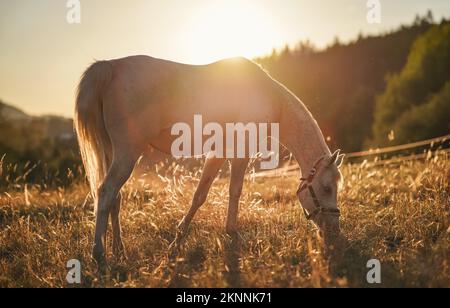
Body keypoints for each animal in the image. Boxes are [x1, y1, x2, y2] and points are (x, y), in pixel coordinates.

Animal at [75, 54, 344, 262]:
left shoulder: (218, 153)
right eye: (327, 188)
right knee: (106, 191)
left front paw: (178, 240)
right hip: (127, 153)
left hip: (113, 152)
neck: (269, 99)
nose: (334, 232)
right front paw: (231, 232)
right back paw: (99, 254)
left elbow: (200, 195)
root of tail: (110, 67)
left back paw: (118, 250)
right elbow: (234, 190)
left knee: (115, 198)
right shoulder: (239, 152)